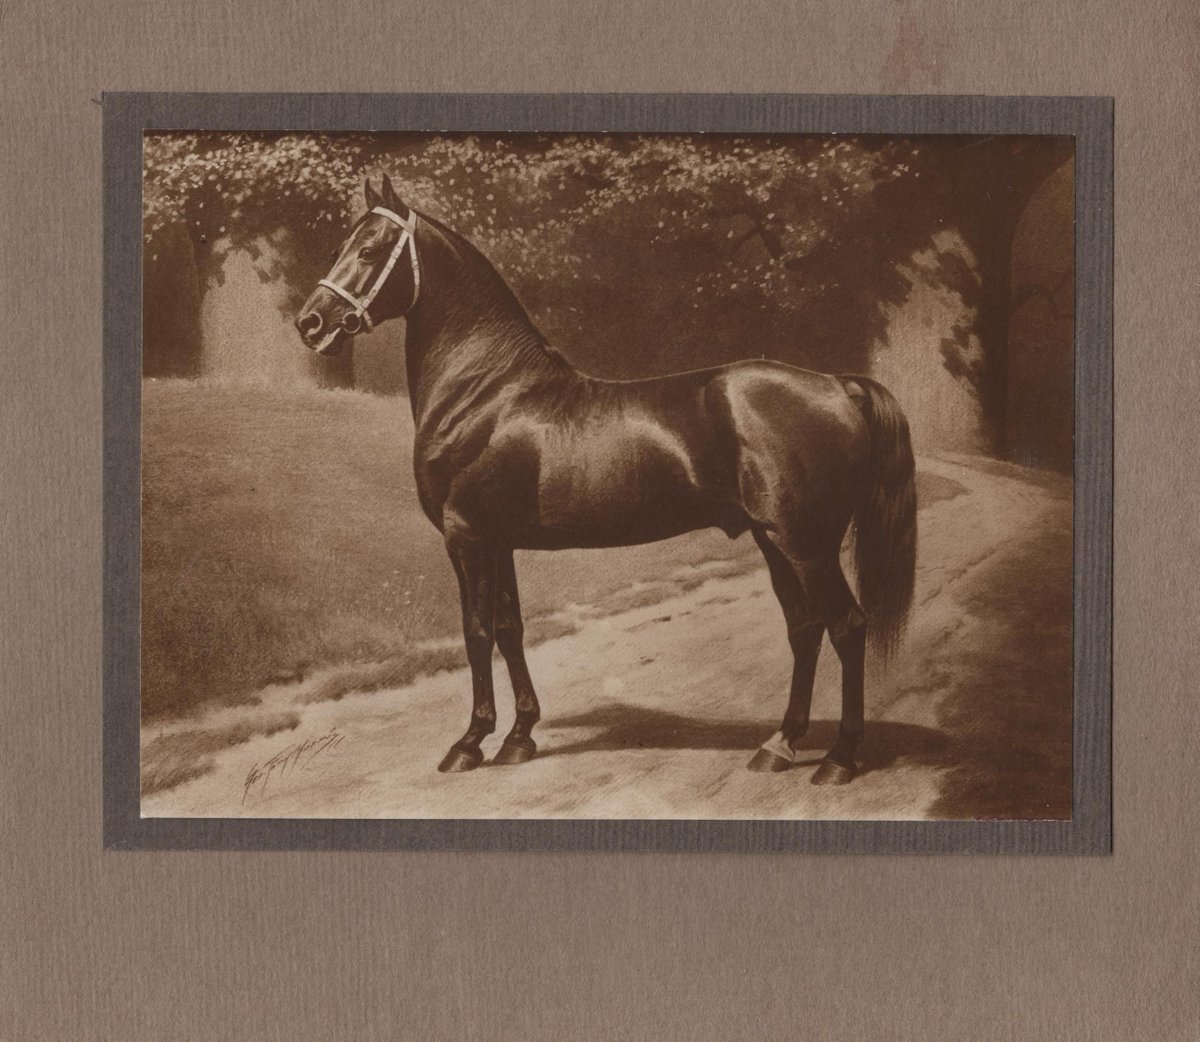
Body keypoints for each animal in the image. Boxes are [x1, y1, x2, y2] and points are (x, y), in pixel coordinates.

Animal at [296, 174, 917, 785]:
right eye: (341, 245)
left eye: (369, 251)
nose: (310, 323)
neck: (486, 390)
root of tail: (838, 385)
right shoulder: (499, 542)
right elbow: (510, 629)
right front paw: (519, 738)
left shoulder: (466, 536)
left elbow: (476, 634)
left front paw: (469, 743)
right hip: (774, 541)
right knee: (805, 629)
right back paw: (779, 745)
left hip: (806, 544)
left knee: (847, 625)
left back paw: (839, 758)